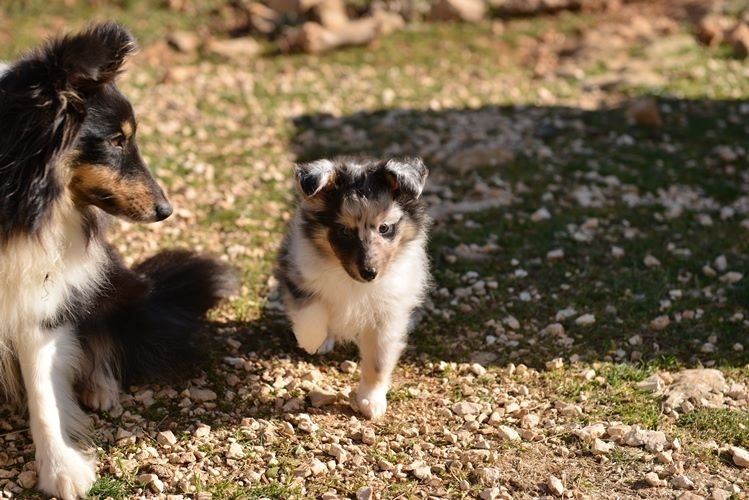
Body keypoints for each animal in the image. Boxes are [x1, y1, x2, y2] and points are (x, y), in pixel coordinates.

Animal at [0, 22, 231, 496]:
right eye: (117, 140)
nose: (166, 210)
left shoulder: (38, 300)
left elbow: (44, 394)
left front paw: (62, 471)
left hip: (110, 279)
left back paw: (99, 387)